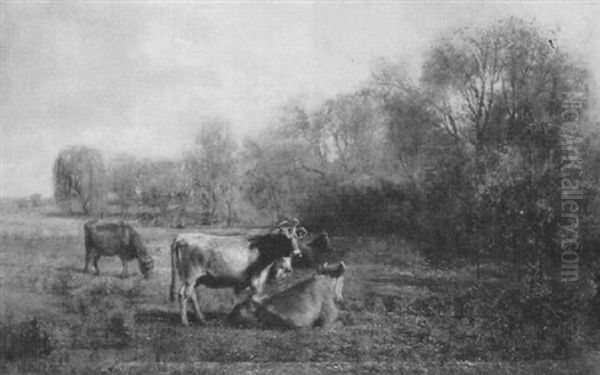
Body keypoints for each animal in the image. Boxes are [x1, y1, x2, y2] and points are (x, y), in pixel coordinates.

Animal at [171, 223, 308, 326]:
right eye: (285, 238)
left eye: (296, 236)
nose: (297, 253)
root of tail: (182, 237)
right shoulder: (256, 279)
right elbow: (252, 298)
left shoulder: (243, 282)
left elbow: (237, 299)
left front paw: (232, 317)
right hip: (191, 276)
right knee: (184, 295)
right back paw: (185, 322)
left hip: (195, 278)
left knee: (190, 295)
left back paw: (201, 319)